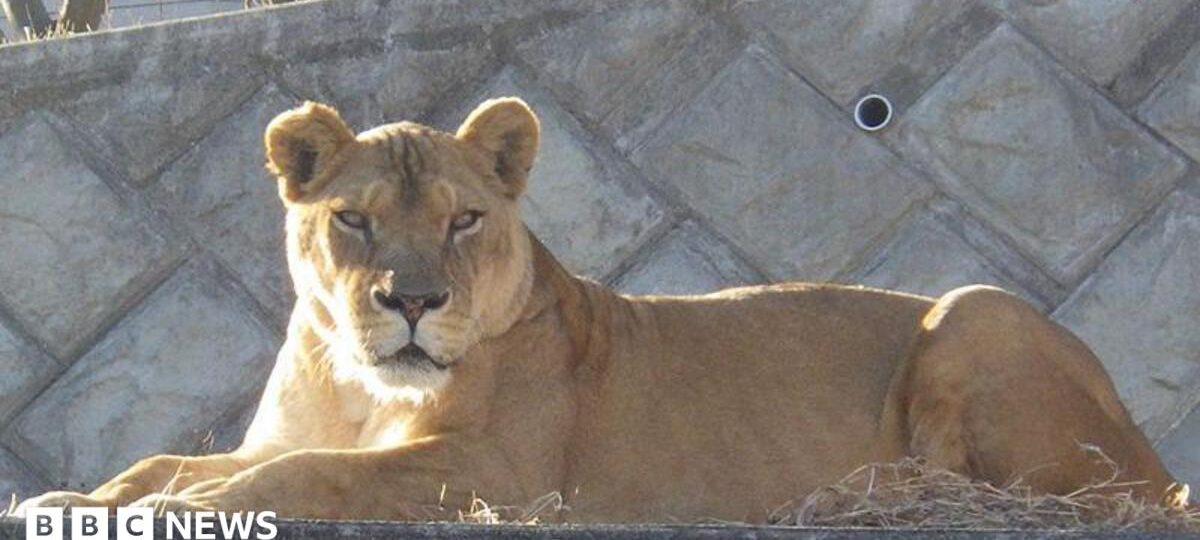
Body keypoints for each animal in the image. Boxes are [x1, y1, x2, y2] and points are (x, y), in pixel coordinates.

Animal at [17, 97, 1188, 523]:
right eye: (352, 220)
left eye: (464, 220)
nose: (411, 302)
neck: (358, 384)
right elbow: (172, 459)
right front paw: (80, 496)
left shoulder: (497, 474)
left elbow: (307, 476)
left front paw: (179, 507)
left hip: (974, 308)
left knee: (1063, 496)